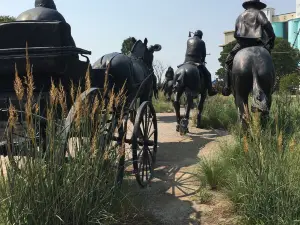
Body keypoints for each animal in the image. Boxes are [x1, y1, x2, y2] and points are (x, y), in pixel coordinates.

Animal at [0, 19, 161, 188]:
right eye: (152, 52)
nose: (153, 77)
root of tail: (106, 62)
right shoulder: (142, 97)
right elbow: (140, 120)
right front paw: (143, 143)